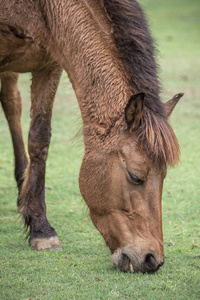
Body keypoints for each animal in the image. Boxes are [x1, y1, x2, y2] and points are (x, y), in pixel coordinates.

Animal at [0, 0, 183, 272]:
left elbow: (39, 139)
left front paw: (40, 228)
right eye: (135, 177)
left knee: (12, 102)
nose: (153, 260)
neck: (41, 9)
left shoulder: (51, 64)